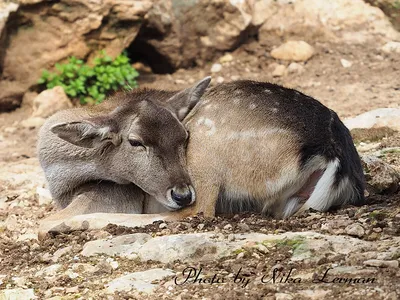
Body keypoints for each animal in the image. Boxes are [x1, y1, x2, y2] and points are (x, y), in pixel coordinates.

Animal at [38, 78, 366, 238]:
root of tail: (334, 150)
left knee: (198, 211)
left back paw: (77, 223)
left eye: (183, 137)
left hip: (207, 146)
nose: (181, 193)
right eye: (135, 142)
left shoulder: (115, 194)